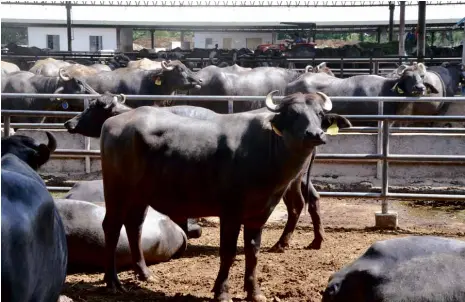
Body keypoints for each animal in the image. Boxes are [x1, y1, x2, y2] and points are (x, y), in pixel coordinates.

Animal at [98, 89, 350, 300]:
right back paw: (112, 282)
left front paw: (254, 292)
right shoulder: (230, 213)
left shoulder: (259, 214)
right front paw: (222, 292)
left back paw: (145, 274)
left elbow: (253, 252)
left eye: (319, 114)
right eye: (293, 114)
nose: (315, 134)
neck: (267, 151)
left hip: (139, 196)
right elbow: (228, 252)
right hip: (116, 190)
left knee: (134, 226)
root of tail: (113, 122)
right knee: (111, 227)